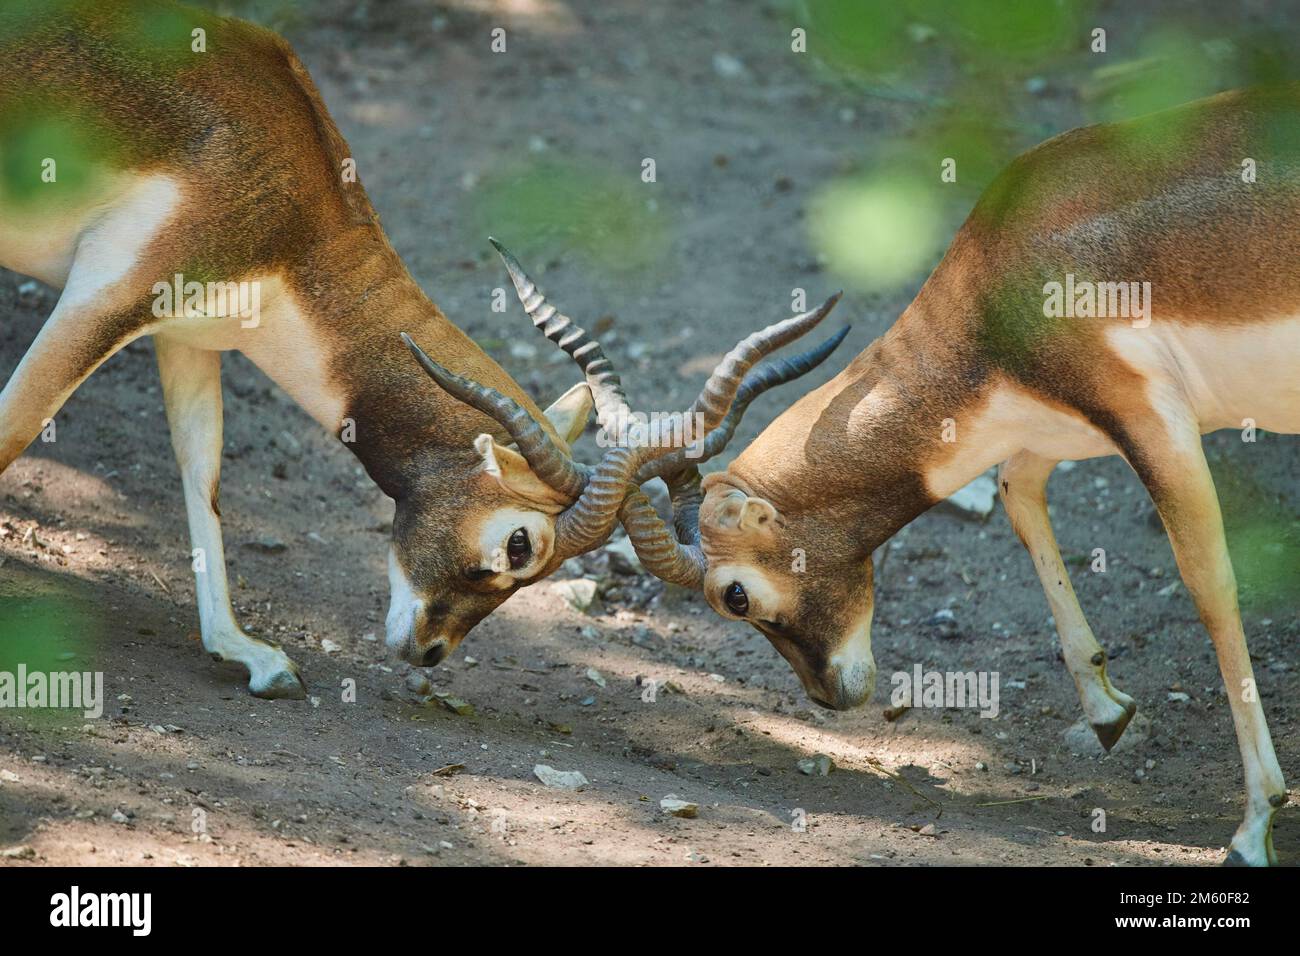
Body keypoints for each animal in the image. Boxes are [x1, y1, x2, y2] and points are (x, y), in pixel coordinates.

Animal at [0, 1, 842, 698]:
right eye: (520, 544)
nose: (430, 652)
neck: (292, 210)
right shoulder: (109, 292)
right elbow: (16, 425)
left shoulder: (185, 334)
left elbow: (201, 474)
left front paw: (251, 655)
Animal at [603, 86, 1297, 866]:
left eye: (735, 596)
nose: (828, 696)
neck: (1002, 276)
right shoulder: (1050, 427)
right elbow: (1017, 496)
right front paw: (1108, 713)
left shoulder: (1151, 421)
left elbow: (1211, 587)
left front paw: (1254, 826)